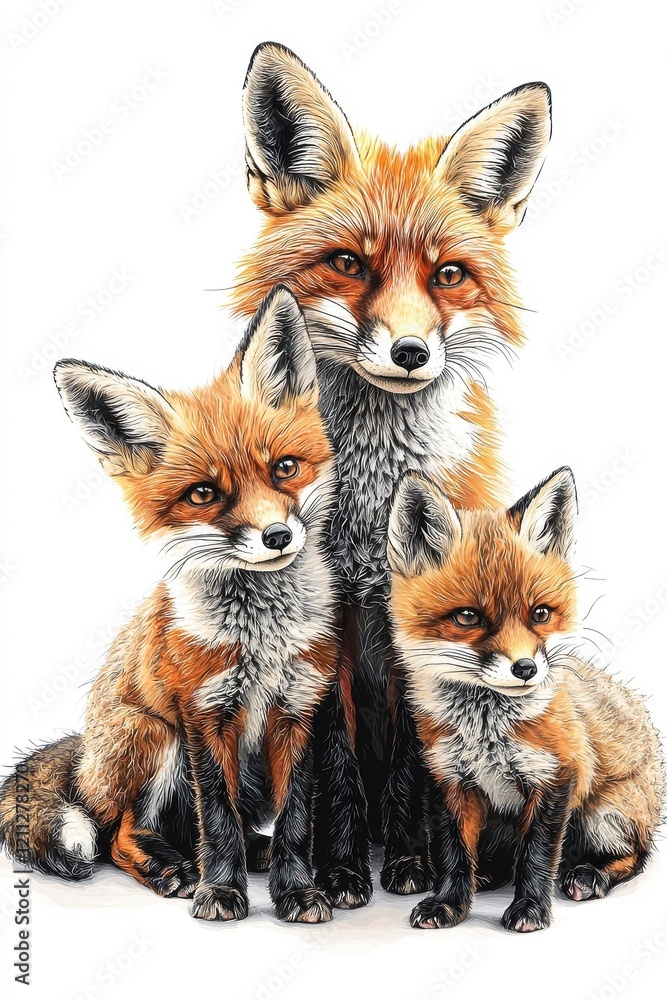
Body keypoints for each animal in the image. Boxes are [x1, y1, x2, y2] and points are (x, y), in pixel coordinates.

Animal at [0, 286, 371, 922]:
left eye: (285, 468)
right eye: (204, 494)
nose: (277, 536)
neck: (260, 639)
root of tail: (85, 756)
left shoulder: (300, 709)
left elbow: (296, 817)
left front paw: (297, 891)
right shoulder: (202, 714)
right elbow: (215, 816)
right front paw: (220, 891)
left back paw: (250, 855)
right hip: (155, 739)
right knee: (123, 835)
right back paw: (173, 869)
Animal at [229, 41, 553, 889]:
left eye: (447, 275)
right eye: (348, 263)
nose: (410, 352)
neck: (371, 509)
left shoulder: (418, 623)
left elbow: (416, 761)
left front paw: (408, 859)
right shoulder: (331, 622)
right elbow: (332, 757)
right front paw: (341, 872)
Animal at [385, 467, 664, 931]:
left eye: (540, 614)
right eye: (468, 617)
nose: (526, 668)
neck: (486, 730)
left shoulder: (558, 775)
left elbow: (537, 855)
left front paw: (531, 909)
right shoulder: (448, 778)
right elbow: (453, 853)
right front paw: (449, 903)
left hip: (605, 818)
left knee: (634, 857)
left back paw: (590, 875)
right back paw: (488, 874)